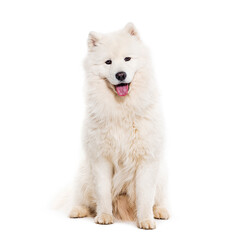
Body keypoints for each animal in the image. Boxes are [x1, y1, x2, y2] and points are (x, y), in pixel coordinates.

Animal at [67, 23, 168, 230]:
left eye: (127, 59)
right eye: (108, 62)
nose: (120, 74)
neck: (122, 110)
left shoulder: (146, 160)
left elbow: (146, 196)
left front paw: (146, 220)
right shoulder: (101, 159)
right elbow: (103, 192)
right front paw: (104, 216)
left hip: (161, 175)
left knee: (158, 200)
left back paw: (160, 211)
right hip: (84, 175)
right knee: (84, 201)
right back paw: (78, 211)